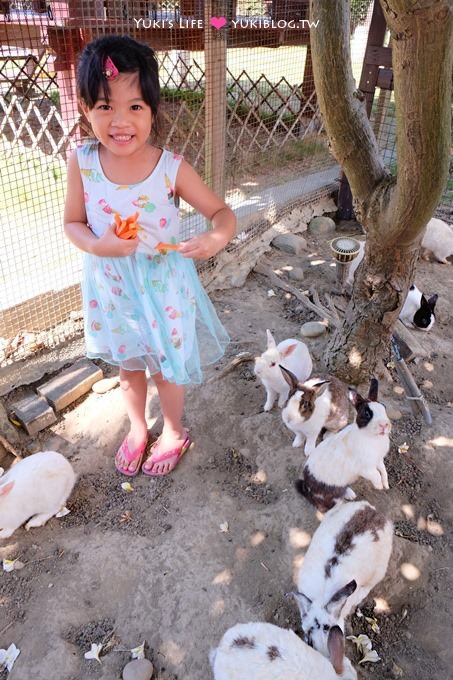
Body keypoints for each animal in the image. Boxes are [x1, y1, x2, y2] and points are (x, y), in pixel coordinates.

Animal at [294, 378, 390, 510]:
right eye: (367, 414)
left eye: (384, 407)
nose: (384, 425)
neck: (370, 436)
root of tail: (307, 489)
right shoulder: (366, 468)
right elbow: (376, 475)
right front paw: (379, 486)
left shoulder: (378, 460)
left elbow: (383, 471)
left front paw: (386, 485)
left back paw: (351, 494)